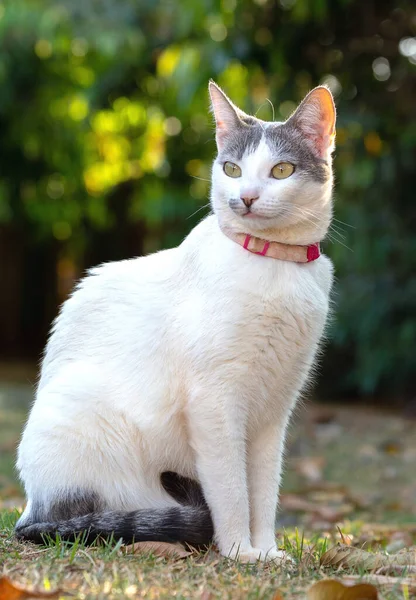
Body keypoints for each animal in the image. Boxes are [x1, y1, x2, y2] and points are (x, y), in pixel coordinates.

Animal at [14, 81, 336, 564]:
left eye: (281, 170)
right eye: (232, 169)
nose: (246, 197)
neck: (273, 262)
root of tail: (30, 506)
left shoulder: (273, 411)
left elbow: (264, 490)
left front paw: (267, 551)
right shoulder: (214, 403)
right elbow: (232, 489)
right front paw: (239, 551)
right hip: (86, 416)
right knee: (95, 519)